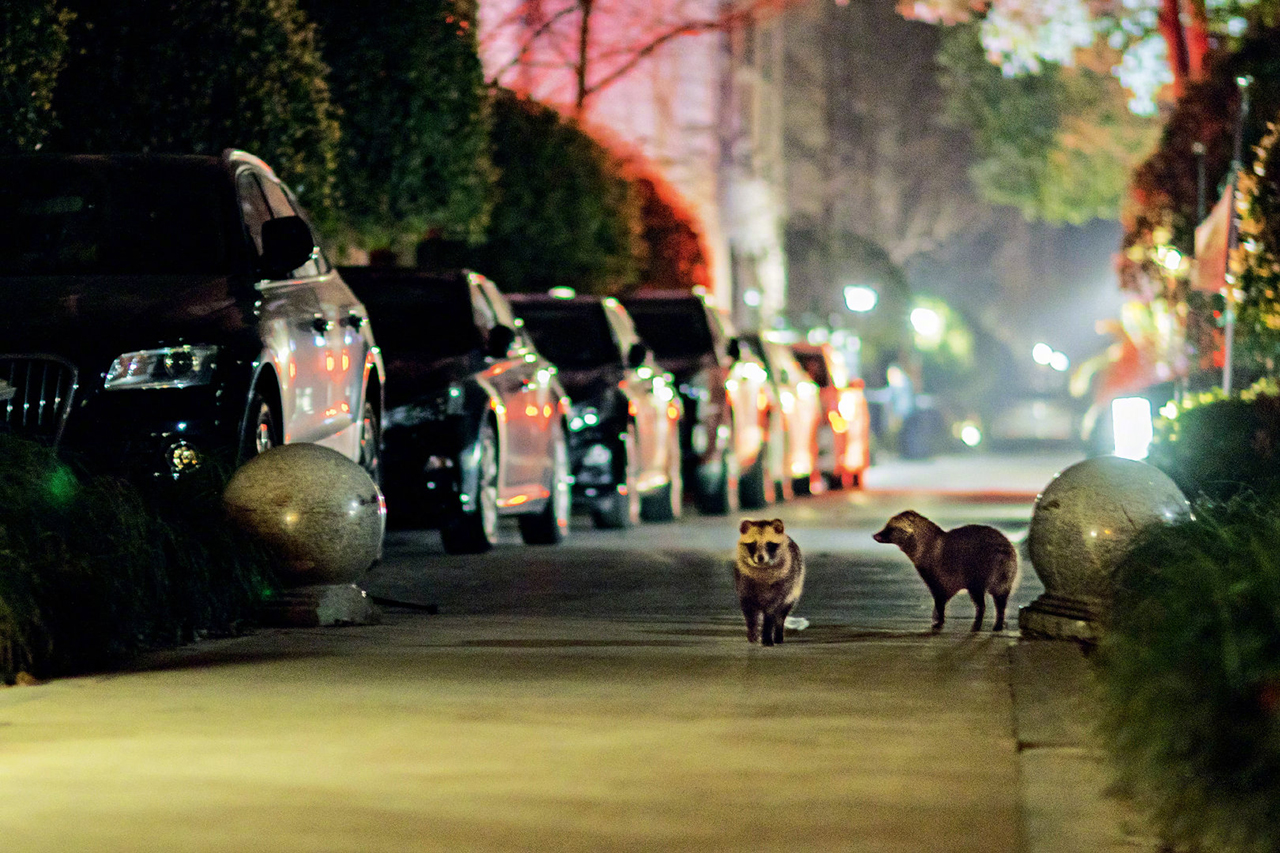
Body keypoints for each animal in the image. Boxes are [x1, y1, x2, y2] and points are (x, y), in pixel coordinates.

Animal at [737, 517, 803, 645]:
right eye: (753, 543)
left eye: (769, 544)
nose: (760, 557)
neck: (762, 568)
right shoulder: (745, 585)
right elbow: (749, 614)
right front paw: (752, 633)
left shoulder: (783, 587)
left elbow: (771, 614)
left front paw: (767, 635)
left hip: (793, 590)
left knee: (780, 616)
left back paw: (778, 634)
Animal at [870, 504, 1018, 630]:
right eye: (886, 525)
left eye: (891, 528)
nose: (875, 535)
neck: (924, 544)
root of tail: (1003, 549)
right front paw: (937, 618)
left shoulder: (937, 573)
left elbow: (940, 599)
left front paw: (938, 620)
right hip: (1005, 577)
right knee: (1000, 601)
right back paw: (997, 624)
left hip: (977, 575)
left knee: (982, 604)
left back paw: (980, 625)